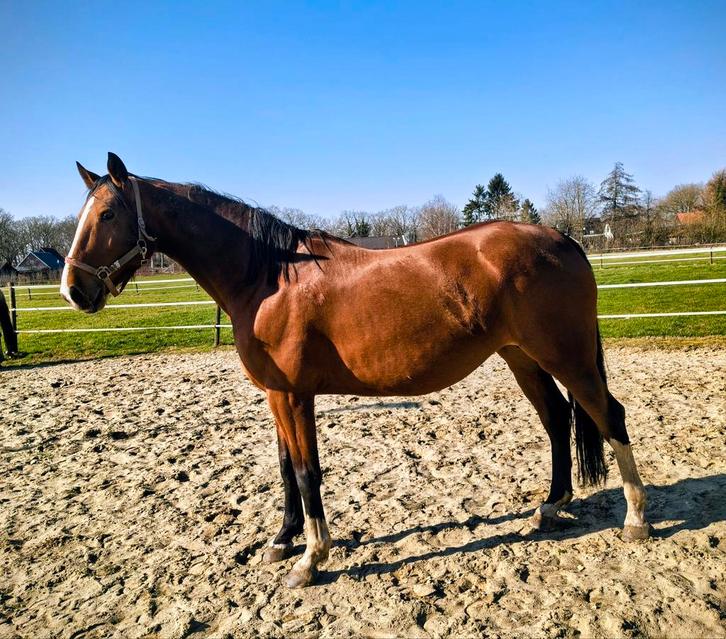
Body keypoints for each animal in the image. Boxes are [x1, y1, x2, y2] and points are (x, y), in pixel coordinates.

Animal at [62, 153, 651, 588]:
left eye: (108, 215)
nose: (74, 291)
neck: (268, 277)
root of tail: (565, 240)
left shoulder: (294, 395)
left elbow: (306, 472)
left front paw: (311, 558)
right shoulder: (277, 394)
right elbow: (285, 469)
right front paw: (282, 541)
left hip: (567, 357)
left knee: (610, 416)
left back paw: (636, 519)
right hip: (522, 357)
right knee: (556, 419)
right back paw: (550, 506)